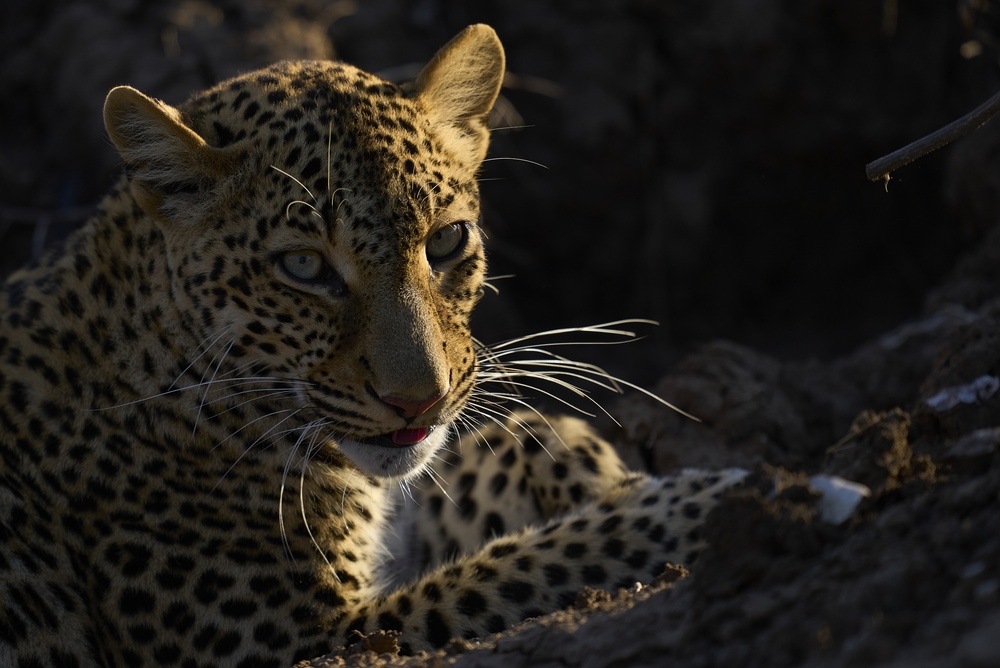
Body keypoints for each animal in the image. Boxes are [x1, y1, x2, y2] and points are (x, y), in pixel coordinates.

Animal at [0, 24, 745, 667]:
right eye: (304, 267)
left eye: (447, 241)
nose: (418, 403)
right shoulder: (307, 639)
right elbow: (538, 558)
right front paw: (715, 497)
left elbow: (512, 439)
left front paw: (600, 469)